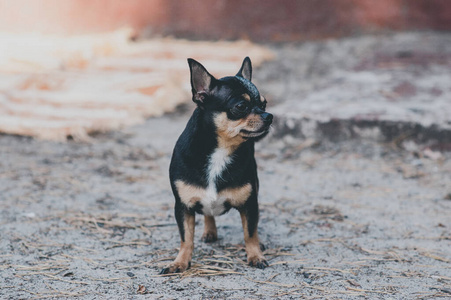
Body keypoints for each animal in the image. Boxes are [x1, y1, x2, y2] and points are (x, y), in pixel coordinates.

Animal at [162, 56, 276, 274]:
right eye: (241, 106)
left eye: (264, 104)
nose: (269, 116)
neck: (221, 151)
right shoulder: (183, 208)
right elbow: (186, 238)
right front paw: (179, 262)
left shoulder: (250, 205)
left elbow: (250, 233)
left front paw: (255, 256)